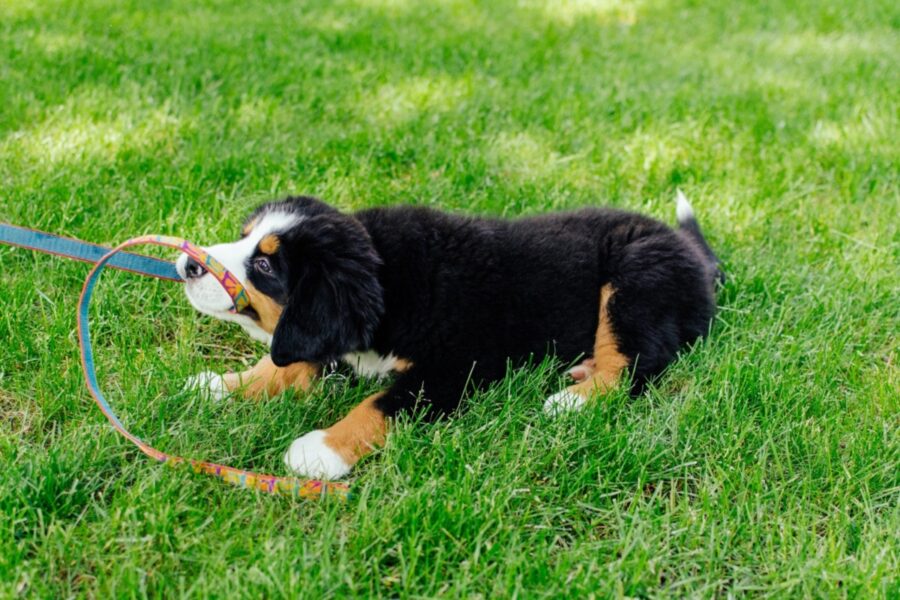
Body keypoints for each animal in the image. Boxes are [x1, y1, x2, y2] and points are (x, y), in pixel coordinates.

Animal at [176, 192, 724, 478]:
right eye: (244, 237)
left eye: (266, 265)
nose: (186, 264)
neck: (390, 279)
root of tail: (691, 253)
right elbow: (285, 363)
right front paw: (222, 385)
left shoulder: (453, 369)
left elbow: (381, 405)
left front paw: (321, 450)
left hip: (633, 278)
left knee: (637, 360)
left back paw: (574, 400)